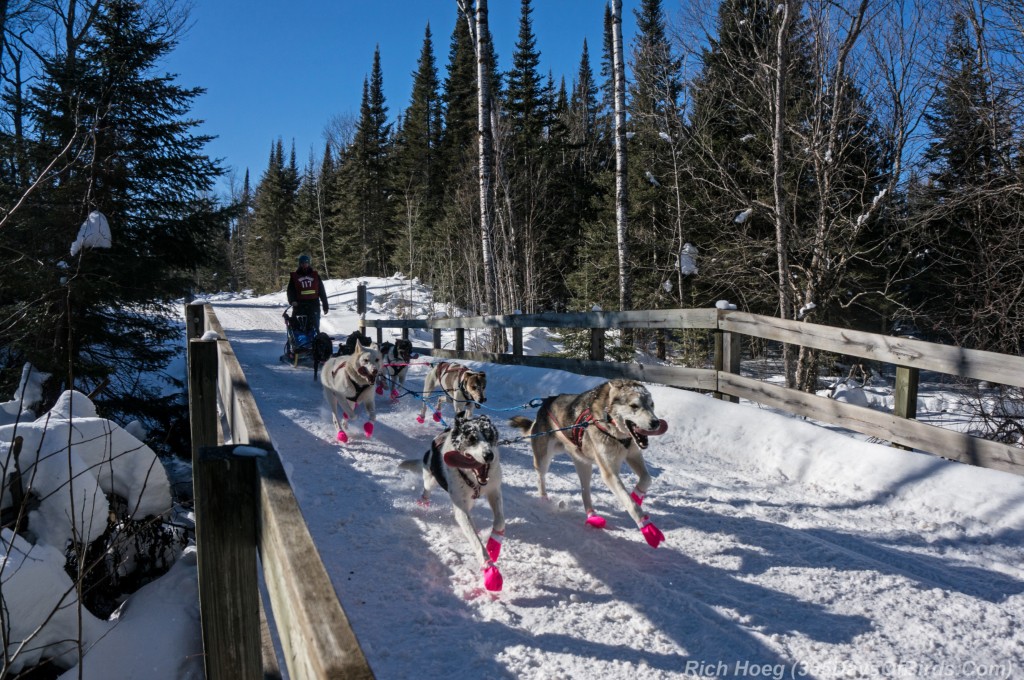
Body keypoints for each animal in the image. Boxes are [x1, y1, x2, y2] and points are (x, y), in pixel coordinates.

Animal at [397, 411, 505, 593]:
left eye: (490, 435)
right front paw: (489, 568)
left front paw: (493, 546)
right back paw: (423, 503)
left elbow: (500, 521)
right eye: (471, 438)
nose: (489, 455)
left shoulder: (493, 490)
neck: (473, 479)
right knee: (426, 490)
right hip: (431, 478)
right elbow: (476, 542)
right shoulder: (460, 509)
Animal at [507, 378, 667, 548]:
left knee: (585, 492)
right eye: (634, 405)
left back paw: (592, 516)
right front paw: (648, 528)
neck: (609, 423)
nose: (656, 423)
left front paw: (637, 495)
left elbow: (646, 479)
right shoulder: (609, 473)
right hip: (543, 459)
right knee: (541, 477)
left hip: (584, 465)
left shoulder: (633, 455)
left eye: (651, 404)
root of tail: (546, 402)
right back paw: (543, 498)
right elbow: (630, 504)